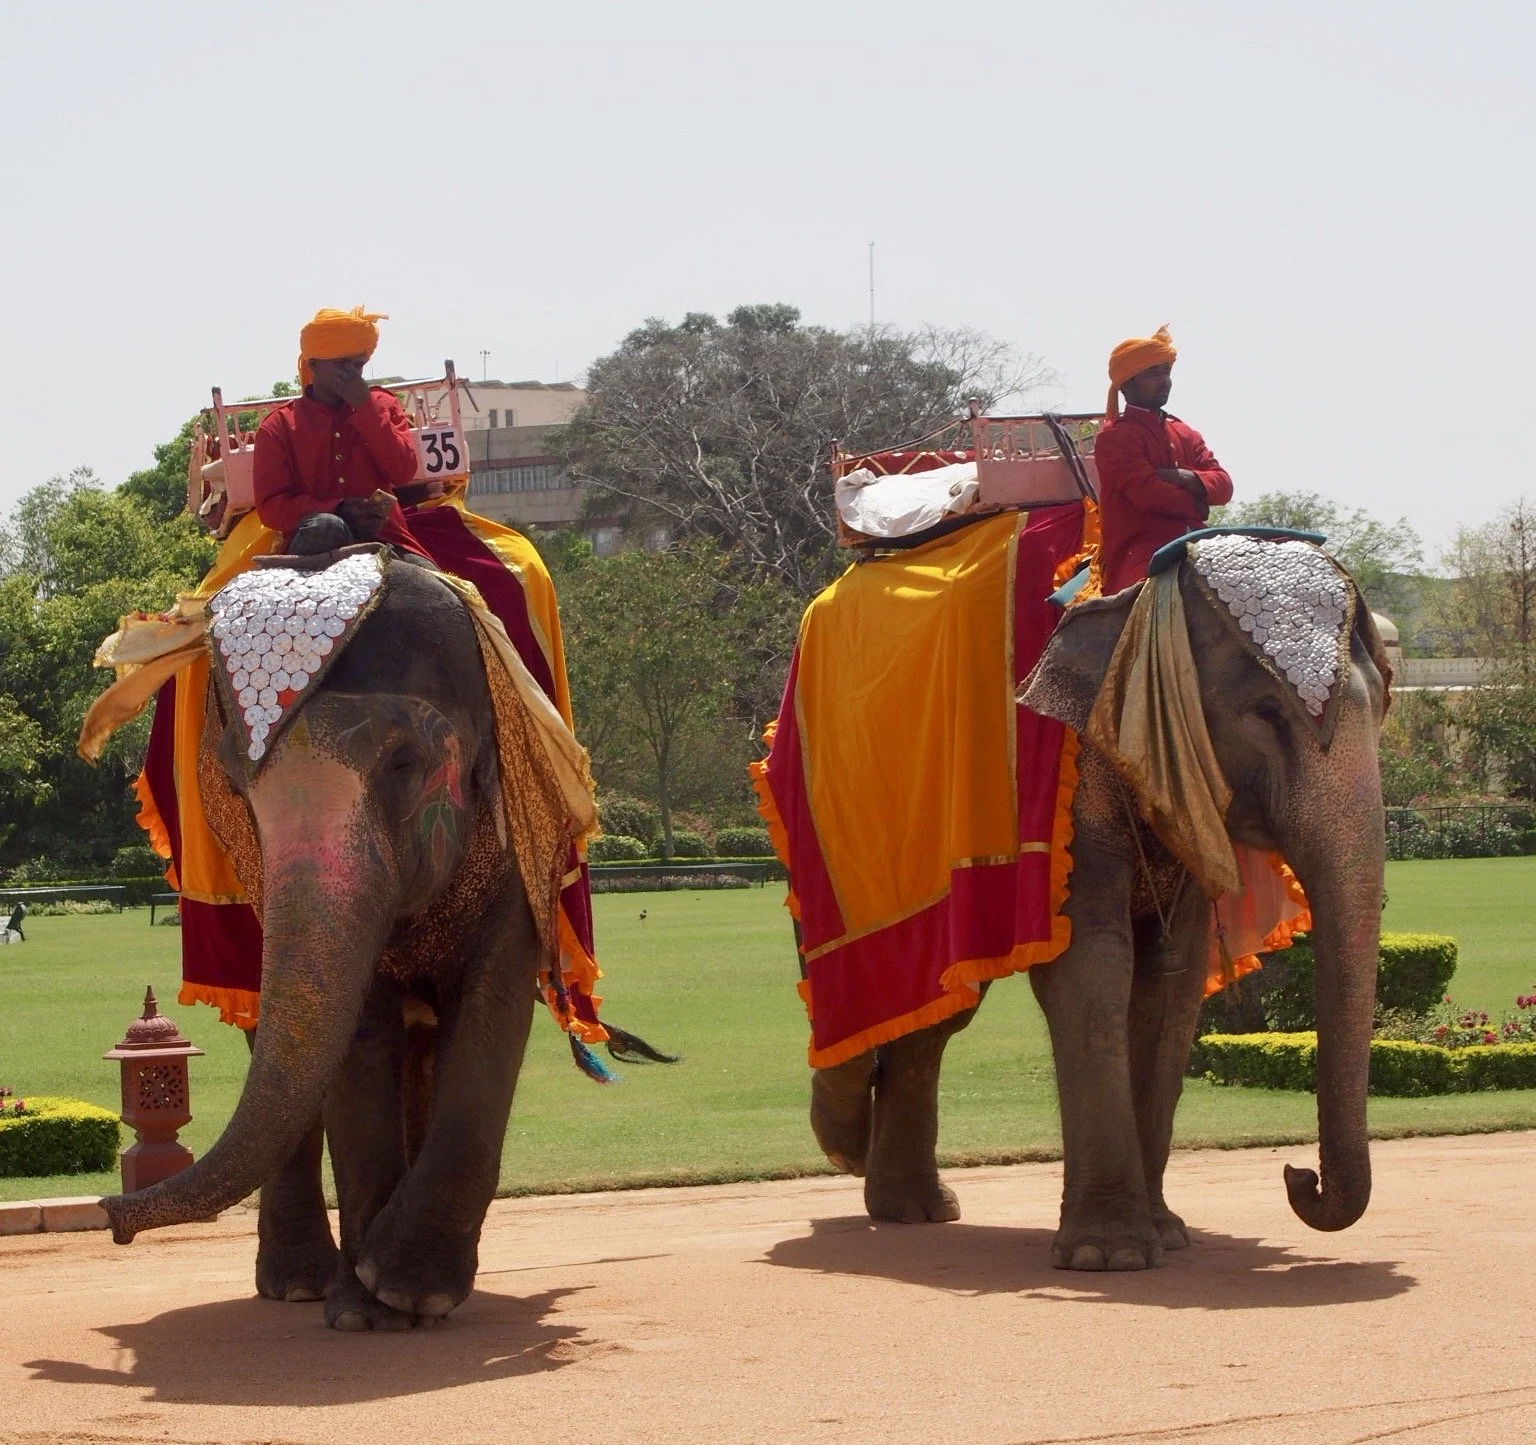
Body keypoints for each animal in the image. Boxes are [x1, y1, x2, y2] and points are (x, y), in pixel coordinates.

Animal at [101, 542, 595, 1329]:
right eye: (234, 786)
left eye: (404, 764)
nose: (109, 1215)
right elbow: (355, 1039)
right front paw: (366, 1311)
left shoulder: (519, 852)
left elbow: (492, 1008)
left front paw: (407, 1291)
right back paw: (298, 1283)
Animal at [808, 543, 1389, 1270]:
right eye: (1265, 712)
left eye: (1386, 709)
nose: (1295, 1175)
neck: (1135, 605)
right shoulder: (1069, 786)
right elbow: (1092, 966)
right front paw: (1107, 1257)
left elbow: (1172, 980)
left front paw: (1167, 1235)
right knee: (914, 996)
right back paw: (845, 1133)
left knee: (938, 1013)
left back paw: (911, 1207)